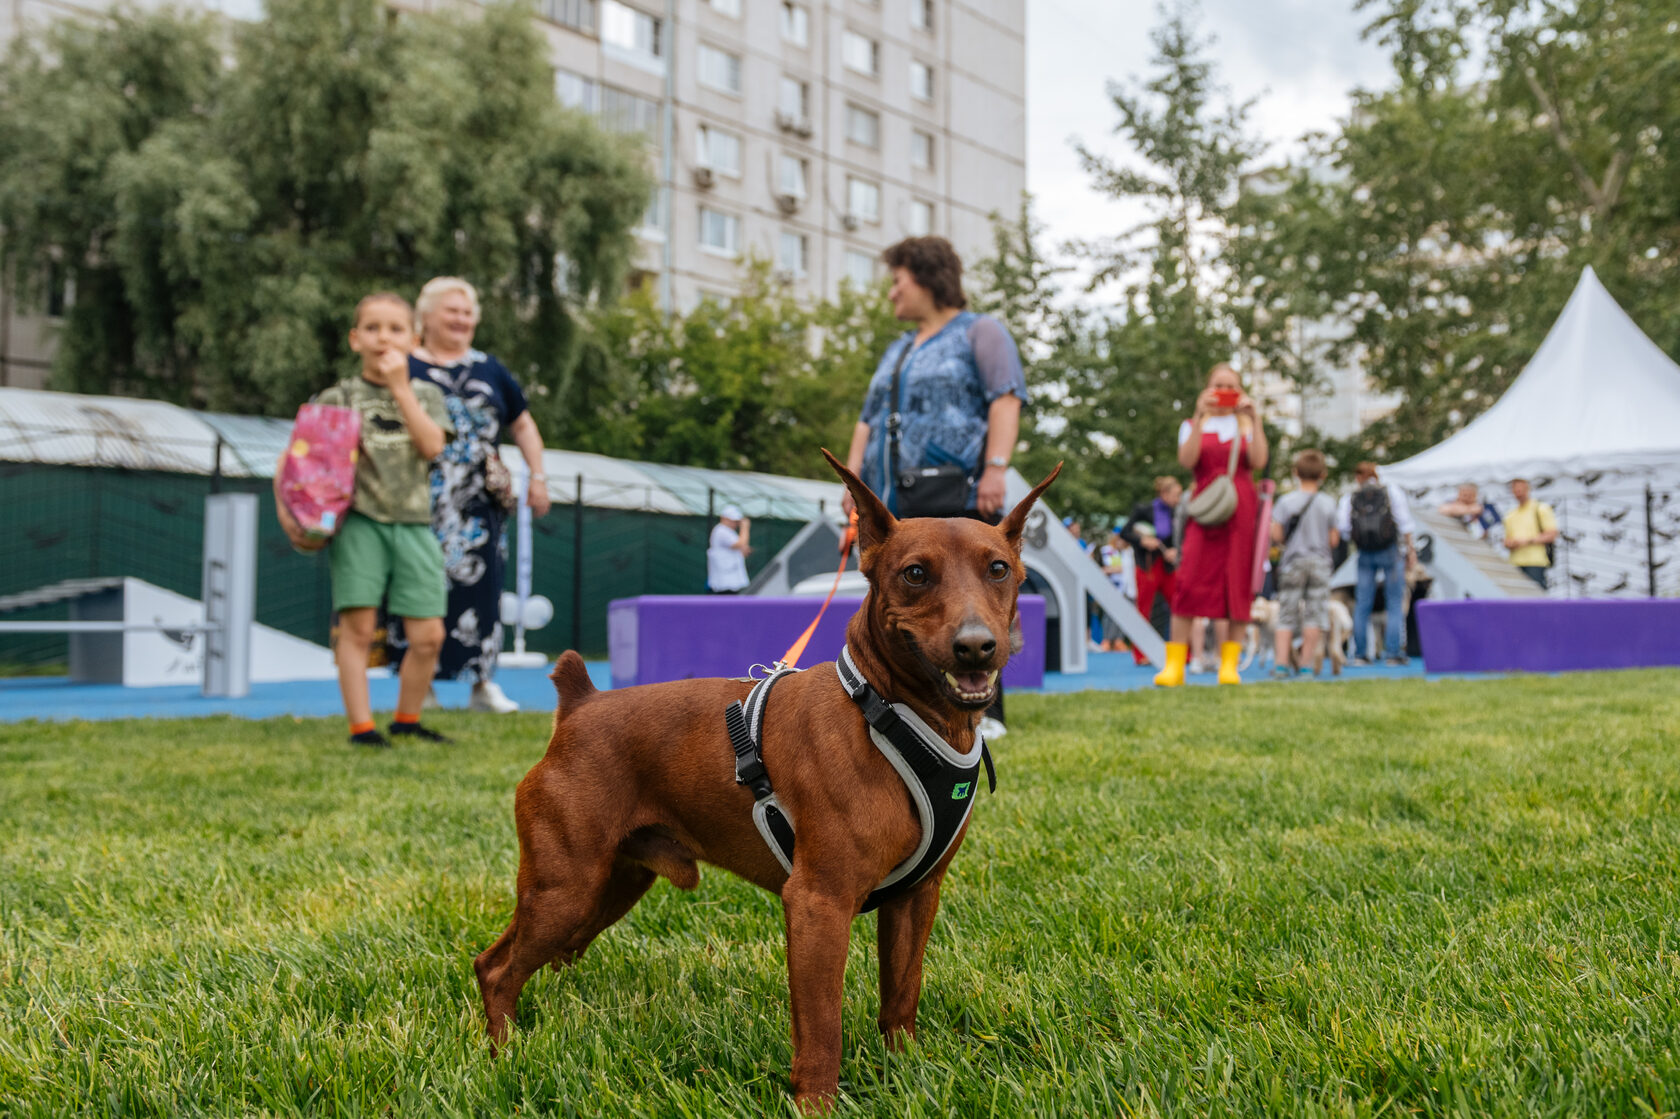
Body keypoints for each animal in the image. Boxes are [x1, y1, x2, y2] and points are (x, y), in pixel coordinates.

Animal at [473, 450, 1055, 1102]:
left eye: (999, 568)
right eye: (914, 574)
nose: (975, 646)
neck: (888, 714)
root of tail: (580, 704)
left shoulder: (915, 897)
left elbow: (900, 999)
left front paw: (906, 1074)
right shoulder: (818, 903)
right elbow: (822, 1029)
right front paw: (816, 1103)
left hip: (608, 886)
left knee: (533, 956)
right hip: (566, 888)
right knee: (495, 967)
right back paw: (504, 1056)